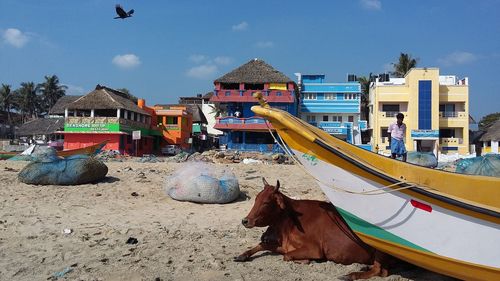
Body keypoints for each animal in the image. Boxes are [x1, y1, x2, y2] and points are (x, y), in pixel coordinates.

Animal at [236, 178, 392, 278]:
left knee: (380, 271)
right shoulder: (284, 245)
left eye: (266, 203)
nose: (245, 220)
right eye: (256, 199)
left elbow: (287, 256)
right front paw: (242, 255)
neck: (289, 223)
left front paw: (305, 260)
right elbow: (262, 245)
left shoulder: (314, 249)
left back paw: (352, 274)